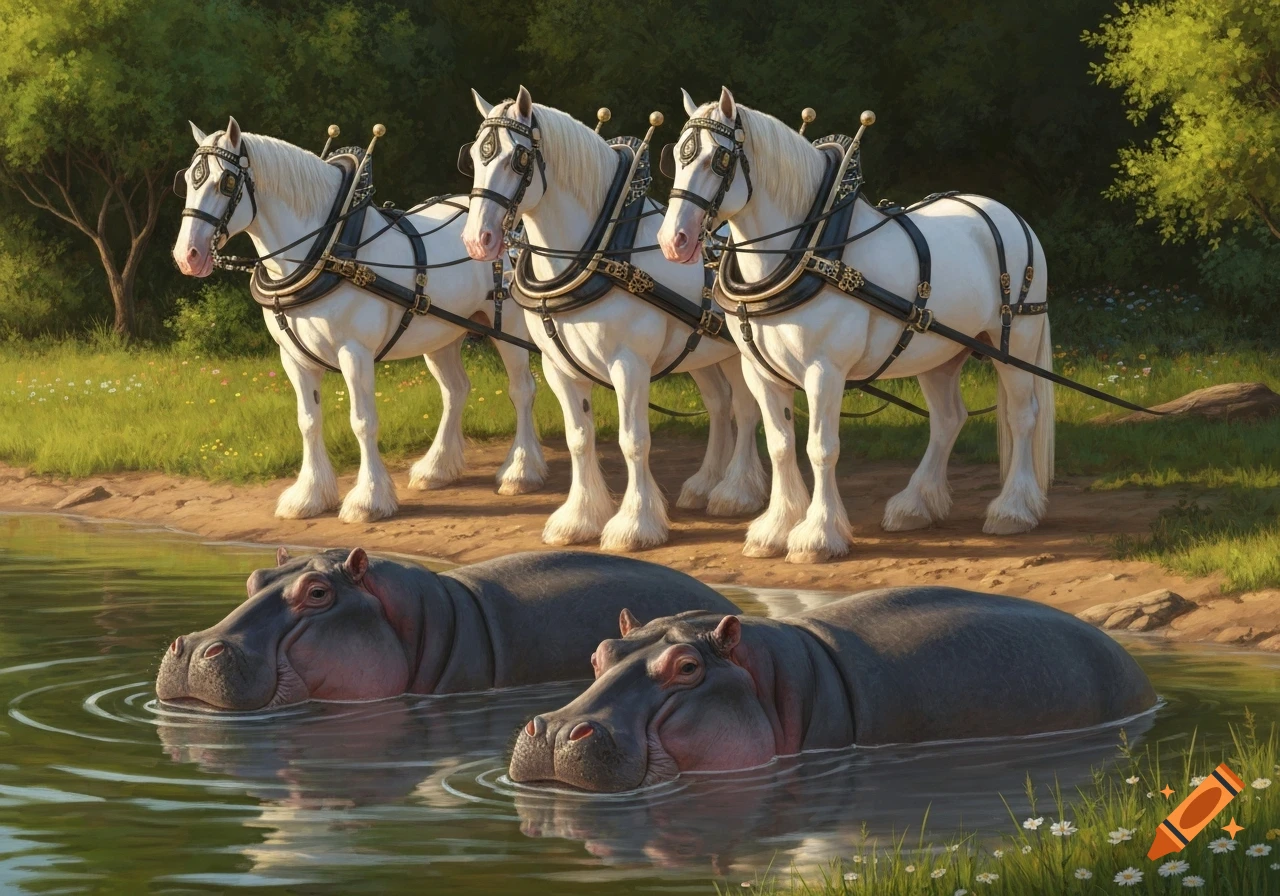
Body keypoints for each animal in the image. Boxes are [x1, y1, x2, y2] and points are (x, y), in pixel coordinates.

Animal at [172, 117, 547, 524]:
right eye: (186, 180)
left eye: (225, 182)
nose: (187, 255)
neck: (328, 250)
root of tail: (510, 228)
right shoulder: (293, 358)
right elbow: (308, 421)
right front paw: (308, 496)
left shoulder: (355, 352)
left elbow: (363, 422)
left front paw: (367, 500)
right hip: (440, 334)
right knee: (455, 391)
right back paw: (435, 469)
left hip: (508, 329)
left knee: (522, 390)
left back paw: (520, 472)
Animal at [460, 87, 768, 551]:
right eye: (474, 156)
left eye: (518, 158)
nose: (478, 239)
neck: (599, 254)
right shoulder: (558, 366)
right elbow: (578, 438)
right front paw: (579, 518)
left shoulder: (630, 365)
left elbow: (633, 441)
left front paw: (635, 524)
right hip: (703, 353)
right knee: (719, 404)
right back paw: (705, 484)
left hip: (736, 353)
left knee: (746, 410)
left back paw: (735, 491)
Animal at [657, 88, 1054, 563]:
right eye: (674, 159)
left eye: (718, 160)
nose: (673, 241)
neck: (810, 251)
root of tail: (1014, 218)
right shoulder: (760, 372)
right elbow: (780, 445)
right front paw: (775, 528)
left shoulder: (824, 370)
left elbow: (821, 448)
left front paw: (818, 534)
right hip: (937, 351)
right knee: (948, 419)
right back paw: (914, 505)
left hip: (1015, 342)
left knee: (1022, 416)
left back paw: (1013, 509)